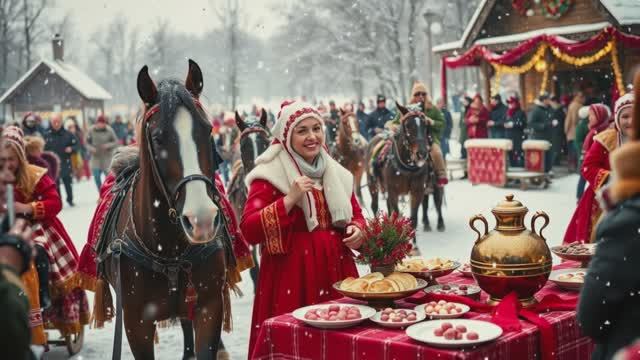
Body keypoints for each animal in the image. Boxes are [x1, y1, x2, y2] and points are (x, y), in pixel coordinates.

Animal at [96, 60, 231, 358]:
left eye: (208, 130)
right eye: (158, 139)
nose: (201, 219)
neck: (169, 251)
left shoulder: (208, 307)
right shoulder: (136, 322)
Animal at [364, 102, 430, 245]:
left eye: (425, 125)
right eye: (408, 126)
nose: (422, 153)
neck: (408, 167)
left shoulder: (417, 190)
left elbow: (413, 218)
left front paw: (413, 244)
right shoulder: (393, 190)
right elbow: (397, 214)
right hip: (372, 183)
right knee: (375, 205)